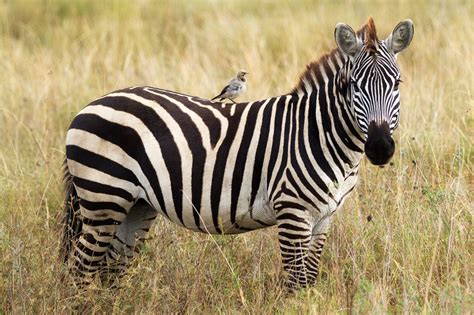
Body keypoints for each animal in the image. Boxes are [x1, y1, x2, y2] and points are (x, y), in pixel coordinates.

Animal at [61, 16, 412, 290]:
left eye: (397, 83)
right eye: (353, 86)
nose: (380, 148)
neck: (320, 132)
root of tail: (91, 104)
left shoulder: (324, 217)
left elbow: (309, 278)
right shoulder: (292, 210)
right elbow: (297, 283)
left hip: (135, 206)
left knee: (110, 270)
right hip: (103, 198)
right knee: (79, 271)